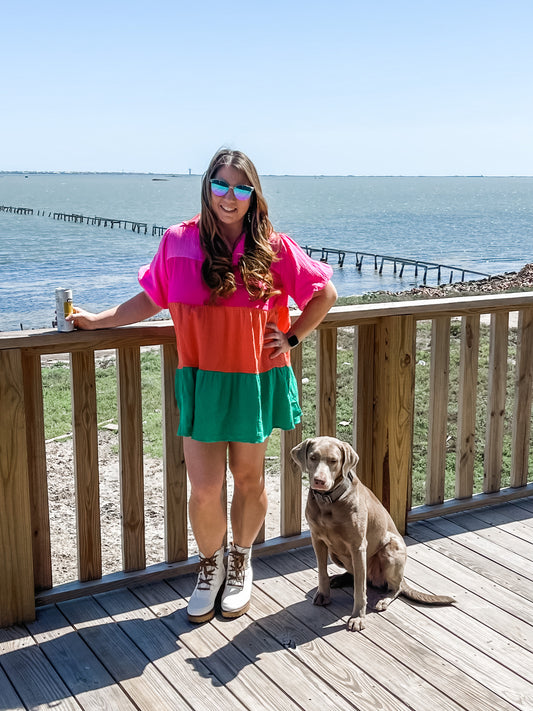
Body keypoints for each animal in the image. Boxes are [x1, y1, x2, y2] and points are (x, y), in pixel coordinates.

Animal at [290, 436, 454, 632]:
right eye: (313, 457)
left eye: (333, 461)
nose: (319, 481)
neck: (328, 502)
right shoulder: (317, 540)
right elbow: (322, 572)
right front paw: (323, 594)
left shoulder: (358, 546)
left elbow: (360, 589)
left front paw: (357, 618)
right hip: (335, 554)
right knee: (356, 575)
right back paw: (338, 579)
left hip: (391, 550)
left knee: (393, 587)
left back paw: (383, 599)